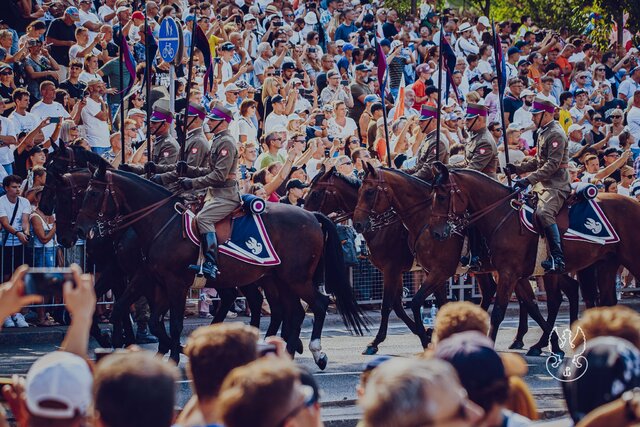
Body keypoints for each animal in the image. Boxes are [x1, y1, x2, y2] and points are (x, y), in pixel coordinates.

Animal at [76, 162, 364, 370]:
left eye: (93, 193)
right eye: (82, 193)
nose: (82, 229)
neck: (160, 222)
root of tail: (312, 216)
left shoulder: (173, 283)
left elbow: (173, 323)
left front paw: (174, 356)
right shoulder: (152, 280)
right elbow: (150, 319)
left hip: (295, 279)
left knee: (317, 304)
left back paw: (315, 352)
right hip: (279, 279)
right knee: (292, 312)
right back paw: (284, 353)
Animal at [350, 166, 580, 356]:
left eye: (369, 192)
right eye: (359, 192)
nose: (357, 224)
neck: (422, 220)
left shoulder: (423, 270)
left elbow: (402, 304)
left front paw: (421, 339)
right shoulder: (424, 272)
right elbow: (423, 304)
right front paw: (431, 335)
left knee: (547, 298)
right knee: (542, 296)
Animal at [428, 165, 636, 348]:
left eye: (442, 196)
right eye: (433, 196)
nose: (436, 233)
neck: (502, 214)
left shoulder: (508, 273)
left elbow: (499, 312)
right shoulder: (510, 274)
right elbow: (527, 304)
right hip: (605, 264)